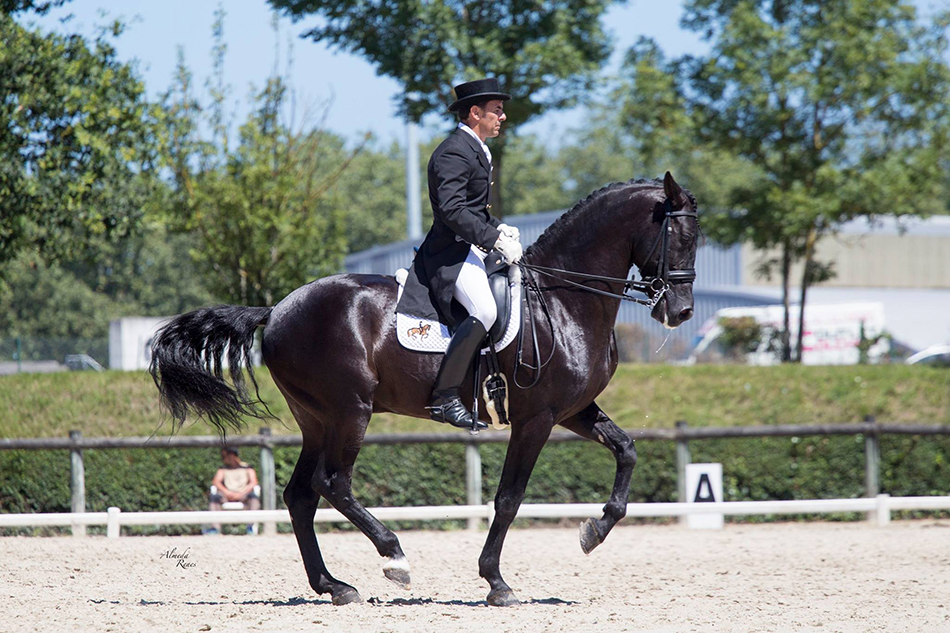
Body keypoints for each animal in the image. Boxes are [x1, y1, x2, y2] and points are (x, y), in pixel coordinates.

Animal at [149, 170, 700, 604]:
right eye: (681, 237)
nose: (680, 313)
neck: (563, 300)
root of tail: (277, 309)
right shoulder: (536, 419)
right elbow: (508, 498)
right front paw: (496, 583)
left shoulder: (573, 410)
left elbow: (627, 450)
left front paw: (594, 531)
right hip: (350, 411)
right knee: (333, 484)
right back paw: (393, 557)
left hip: (317, 419)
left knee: (301, 494)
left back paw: (334, 586)